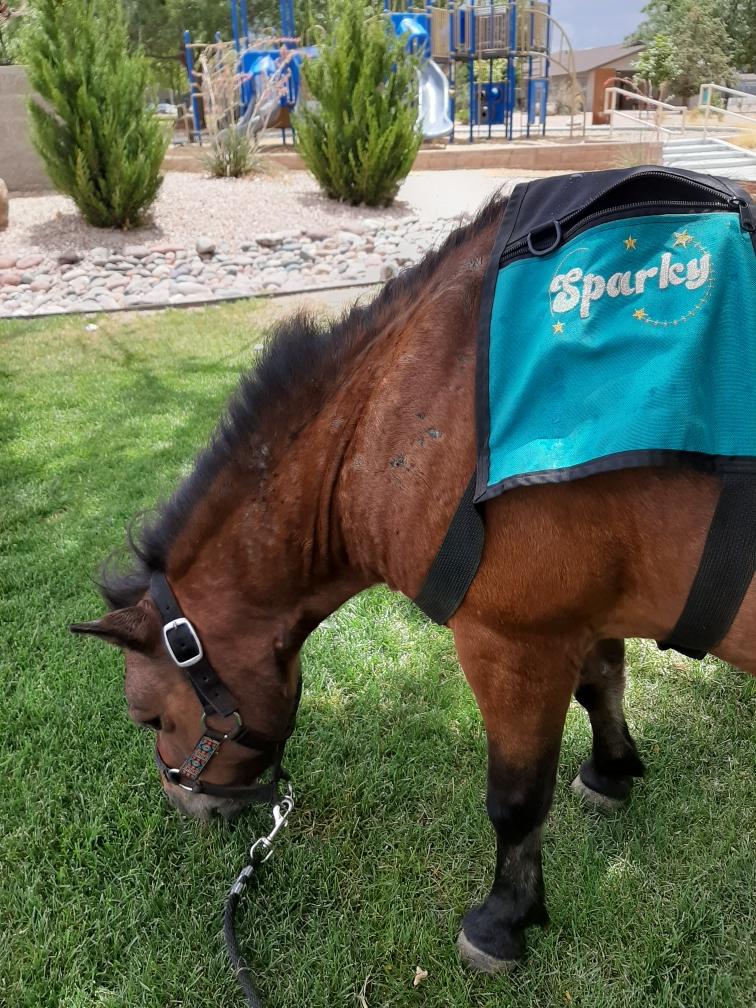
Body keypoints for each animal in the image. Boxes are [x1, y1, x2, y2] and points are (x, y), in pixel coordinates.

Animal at [71, 194, 756, 974]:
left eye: (150, 718)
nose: (185, 803)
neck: (409, 404)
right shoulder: (582, 612)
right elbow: (603, 684)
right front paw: (611, 772)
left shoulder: (513, 645)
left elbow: (517, 798)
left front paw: (502, 919)